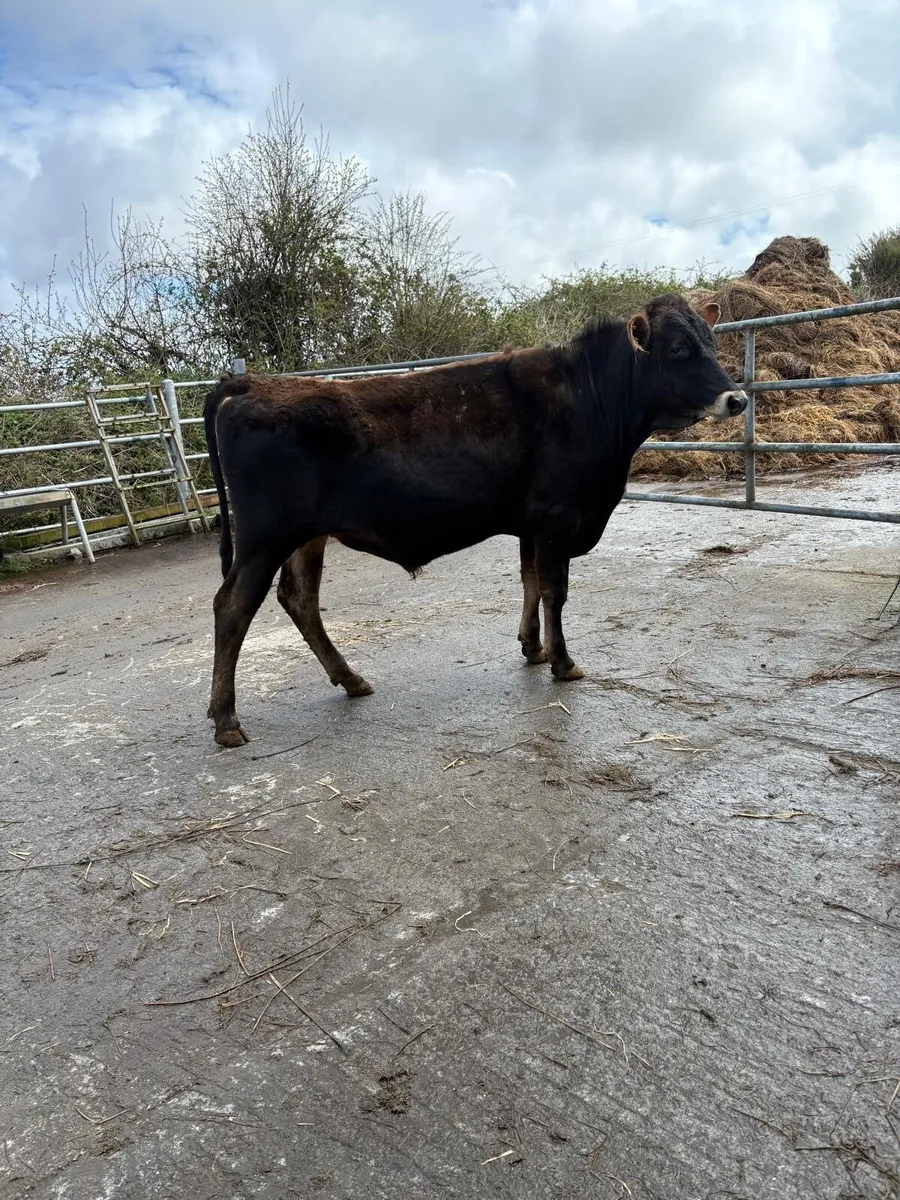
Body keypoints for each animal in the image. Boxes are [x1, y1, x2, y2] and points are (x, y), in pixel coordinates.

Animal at [203, 293, 746, 747]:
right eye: (677, 348)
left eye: (710, 340)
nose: (737, 398)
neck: (588, 399)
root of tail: (255, 382)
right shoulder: (557, 517)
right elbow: (555, 589)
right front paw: (563, 661)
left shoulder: (531, 523)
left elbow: (530, 581)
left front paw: (533, 647)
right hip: (264, 538)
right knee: (232, 607)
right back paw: (226, 719)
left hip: (305, 538)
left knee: (301, 602)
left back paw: (351, 680)